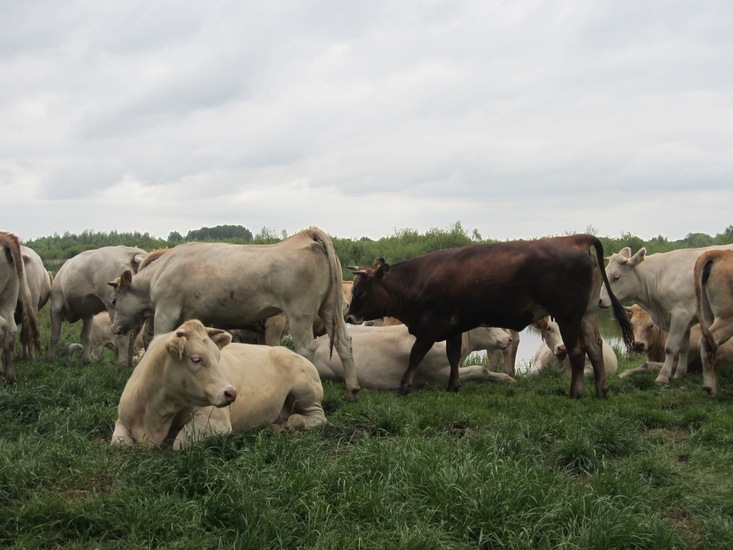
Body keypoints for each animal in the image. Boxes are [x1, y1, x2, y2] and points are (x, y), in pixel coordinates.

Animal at [108, 227, 359, 399]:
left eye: (114, 300)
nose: (114, 328)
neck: (160, 272)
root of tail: (307, 234)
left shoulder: (166, 311)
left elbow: (156, 341)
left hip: (300, 313)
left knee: (306, 349)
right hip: (329, 308)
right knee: (344, 343)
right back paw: (352, 388)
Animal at [110, 319, 326, 449]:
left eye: (218, 356)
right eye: (196, 359)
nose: (231, 393)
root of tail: (287, 350)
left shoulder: (215, 421)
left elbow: (179, 443)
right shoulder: (122, 419)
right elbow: (119, 444)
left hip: (305, 390)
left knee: (318, 417)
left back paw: (295, 422)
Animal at [312, 324, 516, 390]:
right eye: (487, 326)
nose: (509, 338)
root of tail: (318, 342)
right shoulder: (441, 374)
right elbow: (480, 369)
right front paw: (507, 378)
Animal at [345, 234, 633, 398]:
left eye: (360, 292)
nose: (348, 316)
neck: (418, 280)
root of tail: (575, 239)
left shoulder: (430, 327)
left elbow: (416, 355)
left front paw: (404, 386)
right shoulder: (453, 328)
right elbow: (453, 356)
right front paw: (453, 386)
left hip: (568, 316)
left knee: (577, 351)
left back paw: (575, 392)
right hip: (587, 314)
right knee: (595, 348)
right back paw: (601, 389)